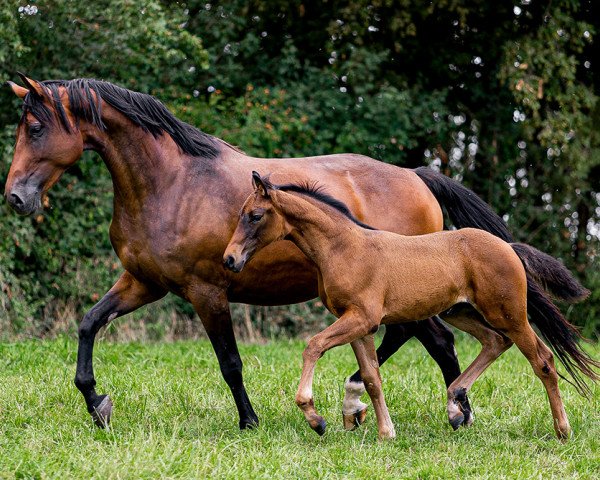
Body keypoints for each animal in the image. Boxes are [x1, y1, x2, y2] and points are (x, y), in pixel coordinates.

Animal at [224, 173, 596, 442]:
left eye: (255, 216)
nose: (230, 260)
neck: (344, 247)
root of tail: (509, 247)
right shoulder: (360, 324)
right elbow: (371, 377)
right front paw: (384, 432)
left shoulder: (360, 318)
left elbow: (313, 346)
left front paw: (315, 418)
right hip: (459, 311)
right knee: (494, 342)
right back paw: (455, 403)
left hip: (510, 314)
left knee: (543, 361)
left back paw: (562, 430)